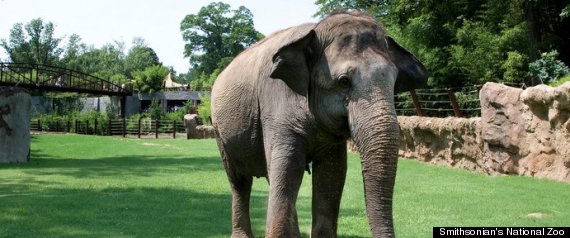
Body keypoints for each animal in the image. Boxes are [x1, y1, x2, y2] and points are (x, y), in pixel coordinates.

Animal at [211, 10, 424, 237]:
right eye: (344, 81)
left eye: (394, 83)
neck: (314, 29)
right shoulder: (275, 106)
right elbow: (289, 167)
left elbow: (332, 175)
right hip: (220, 132)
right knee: (240, 181)